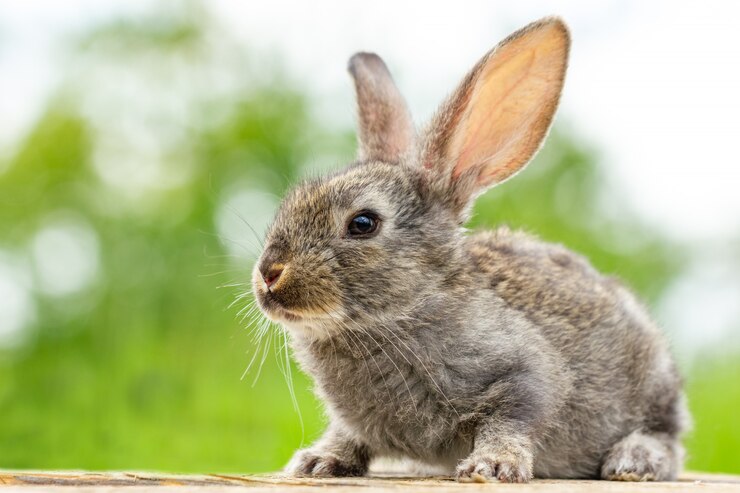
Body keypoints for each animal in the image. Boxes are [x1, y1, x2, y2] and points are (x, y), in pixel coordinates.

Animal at [250, 17, 689, 483]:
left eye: (363, 223)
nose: (269, 274)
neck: (406, 312)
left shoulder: (526, 376)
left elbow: (510, 419)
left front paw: (492, 466)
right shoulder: (353, 421)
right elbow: (348, 435)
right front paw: (318, 461)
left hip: (654, 388)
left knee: (666, 439)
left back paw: (632, 462)